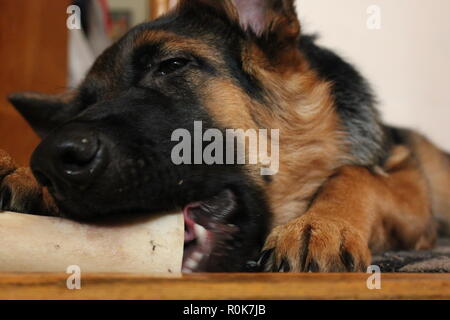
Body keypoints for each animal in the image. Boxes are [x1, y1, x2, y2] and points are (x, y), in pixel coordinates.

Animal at [0, 0, 450, 272]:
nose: (49, 161)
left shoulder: (410, 191)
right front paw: (22, 176)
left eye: (172, 65)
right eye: (82, 108)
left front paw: (323, 224)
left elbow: (357, 174)